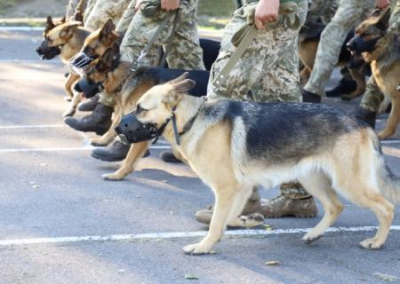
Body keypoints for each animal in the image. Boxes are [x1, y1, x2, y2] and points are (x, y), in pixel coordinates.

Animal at [83, 46, 209, 181]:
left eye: (87, 74)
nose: (75, 88)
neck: (126, 78)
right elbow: (113, 127)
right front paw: (103, 141)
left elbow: (130, 158)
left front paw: (117, 175)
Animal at [117, 74, 398, 255]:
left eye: (141, 109)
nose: (118, 127)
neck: (192, 118)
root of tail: (361, 123)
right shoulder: (239, 189)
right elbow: (229, 217)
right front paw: (247, 221)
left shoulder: (226, 189)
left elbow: (217, 222)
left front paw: (204, 247)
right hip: (312, 180)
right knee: (335, 207)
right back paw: (314, 234)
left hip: (350, 184)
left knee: (386, 208)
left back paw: (377, 241)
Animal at [346, 9, 400, 141]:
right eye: (356, 32)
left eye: (366, 34)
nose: (347, 46)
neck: (385, 51)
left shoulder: (397, 97)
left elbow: (391, 120)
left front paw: (383, 134)